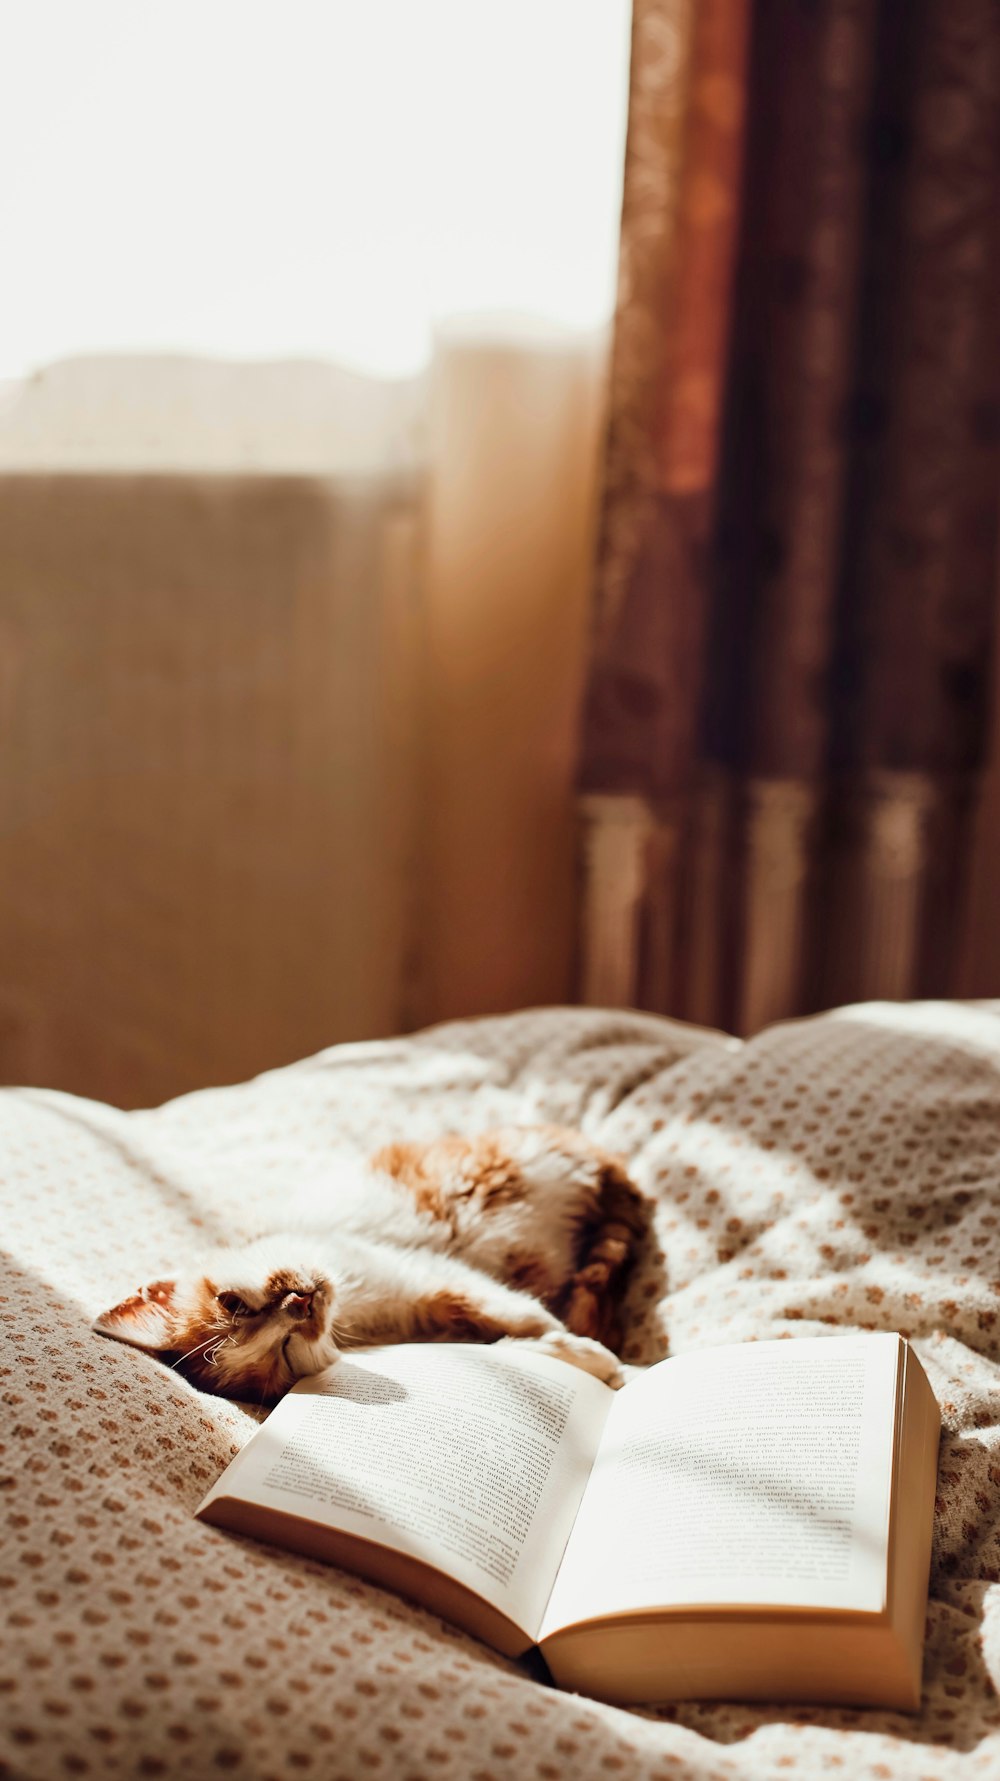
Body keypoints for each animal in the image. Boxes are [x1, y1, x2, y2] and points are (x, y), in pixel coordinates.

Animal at [95, 1125, 648, 1403]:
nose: (300, 1302)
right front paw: (589, 1359)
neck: (363, 1313)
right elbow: (505, 1345)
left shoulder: (427, 1275)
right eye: (286, 1353)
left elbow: (517, 1314)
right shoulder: (429, 1314)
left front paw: (593, 1354)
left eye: (232, 1304)